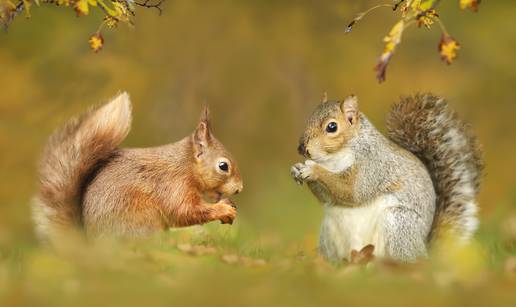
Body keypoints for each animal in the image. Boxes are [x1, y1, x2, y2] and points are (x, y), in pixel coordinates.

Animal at [31, 92, 242, 244]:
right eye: (223, 166)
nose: (240, 188)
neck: (185, 165)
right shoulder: (173, 185)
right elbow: (184, 211)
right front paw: (223, 209)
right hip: (140, 220)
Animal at [292, 93, 482, 262]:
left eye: (332, 127)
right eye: (310, 118)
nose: (301, 148)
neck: (333, 159)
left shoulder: (373, 165)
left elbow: (353, 191)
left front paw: (313, 169)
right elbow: (328, 197)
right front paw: (297, 169)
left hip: (398, 225)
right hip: (328, 233)